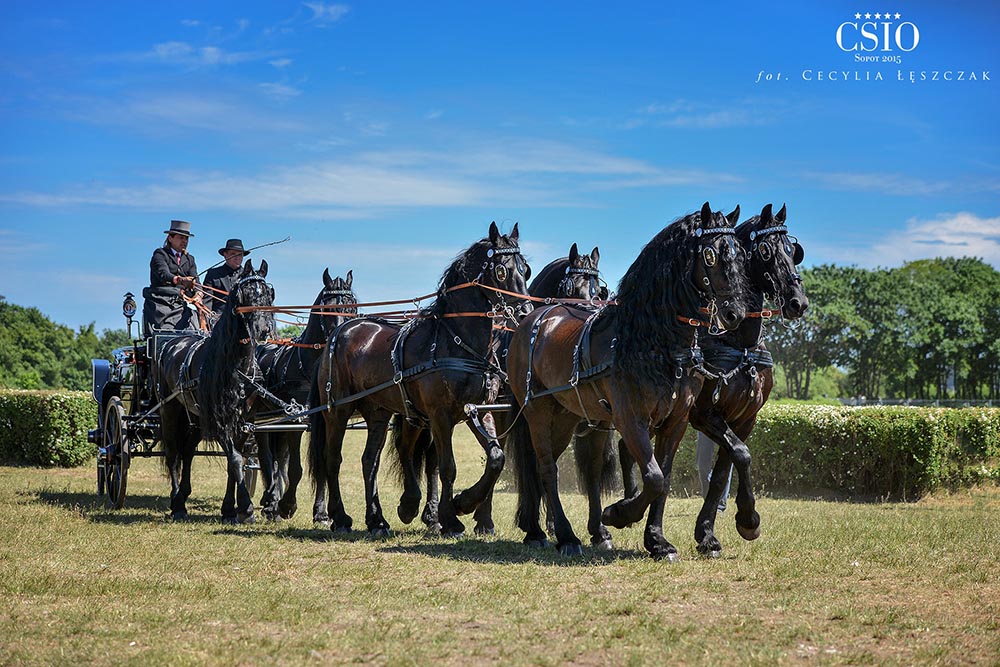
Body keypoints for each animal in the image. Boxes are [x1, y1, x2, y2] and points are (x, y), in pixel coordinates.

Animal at [153, 258, 276, 524]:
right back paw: (177, 503)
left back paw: (184, 495)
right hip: (170, 410)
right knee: (173, 454)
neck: (234, 365)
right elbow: (236, 459)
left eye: (269, 295)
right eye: (246, 294)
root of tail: (172, 343)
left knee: (187, 450)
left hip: (196, 417)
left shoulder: (245, 420)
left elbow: (237, 462)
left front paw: (230, 509)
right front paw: (246, 509)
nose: (263, 330)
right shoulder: (220, 421)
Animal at [256, 268, 358, 524]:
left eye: (352, 307)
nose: (339, 336)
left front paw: (321, 512)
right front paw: (287, 505)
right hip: (262, 421)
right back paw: (271, 502)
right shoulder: (296, 419)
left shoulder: (321, 421)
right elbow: (296, 469)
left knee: (277, 458)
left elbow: (321, 463)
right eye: (327, 309)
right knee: (266, 457)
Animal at [310, 223, 532, 536]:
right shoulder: (440, 415)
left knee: (370, 461)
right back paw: (339, 517)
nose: (525, 314)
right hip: (338, 411)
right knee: (333, 459)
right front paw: (451, 518)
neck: (456, 339)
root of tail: (338, 334)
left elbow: (496, 458)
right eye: (502, 270)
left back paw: (379, 518)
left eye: (525, 269)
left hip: (380, 412)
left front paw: (463, 503)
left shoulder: (479, 410)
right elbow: (448, 466)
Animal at [508, 202, 752, 560]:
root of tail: (533, 319)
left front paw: (657, 540)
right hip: (538, 412)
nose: (735, 313)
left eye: (740, 253)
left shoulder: (676, 420)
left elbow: (663, 478)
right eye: (710, 254)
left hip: (567, 416)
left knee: (569, 466)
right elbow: (652, 477)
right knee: (546, 469)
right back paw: (564, 535)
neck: (654, 342)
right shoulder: (629, 418)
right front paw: (619, 513)